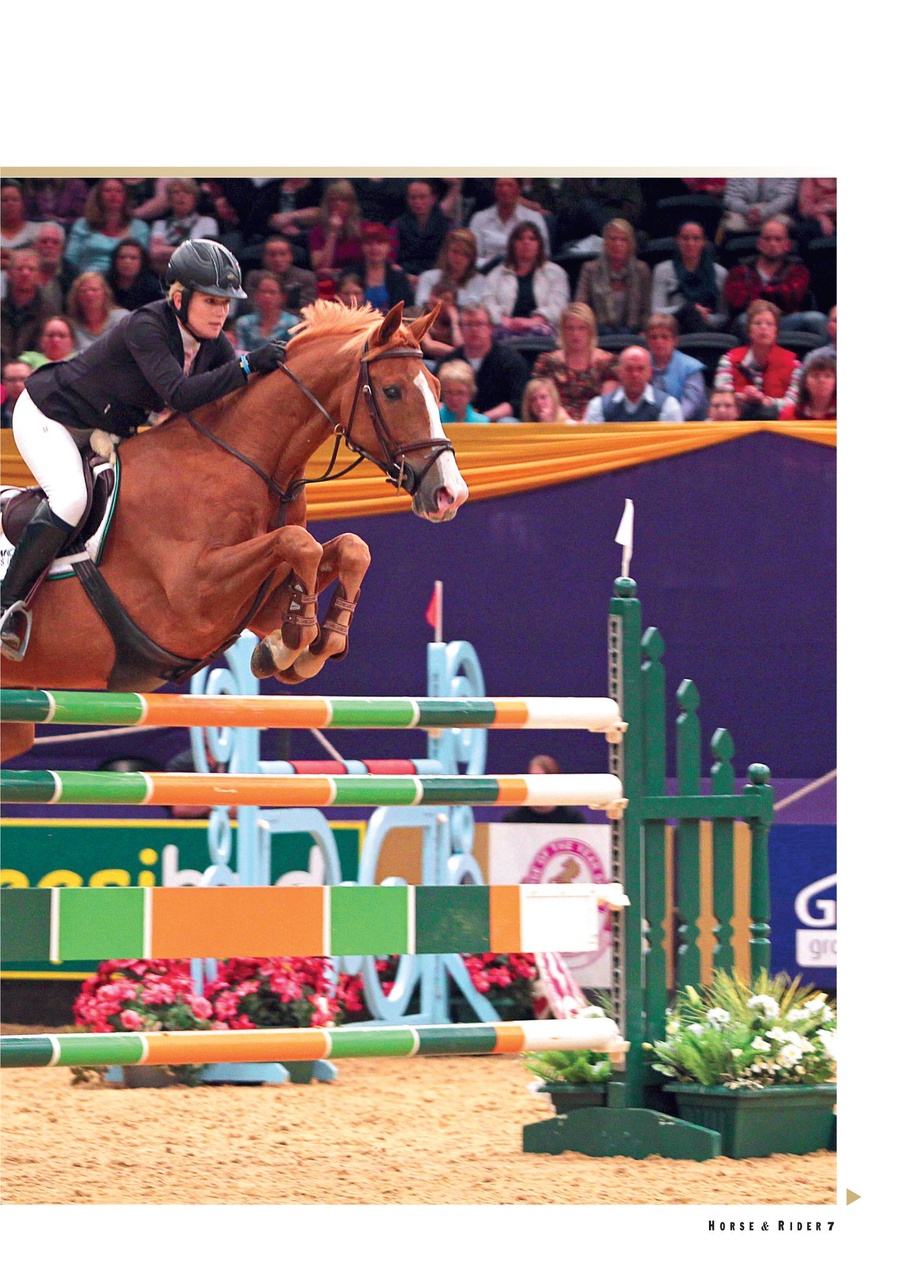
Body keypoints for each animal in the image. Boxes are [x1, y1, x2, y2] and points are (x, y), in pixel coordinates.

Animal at [0, 300, 468, 762]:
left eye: (438, 389)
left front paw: (304, 645)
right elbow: (299, 544)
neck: (245, 465)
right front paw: (291, 642)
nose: (450, 494)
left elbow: (351, 548)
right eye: (392, 391)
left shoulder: (261, 599)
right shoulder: (192, 598)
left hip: (15, 724)